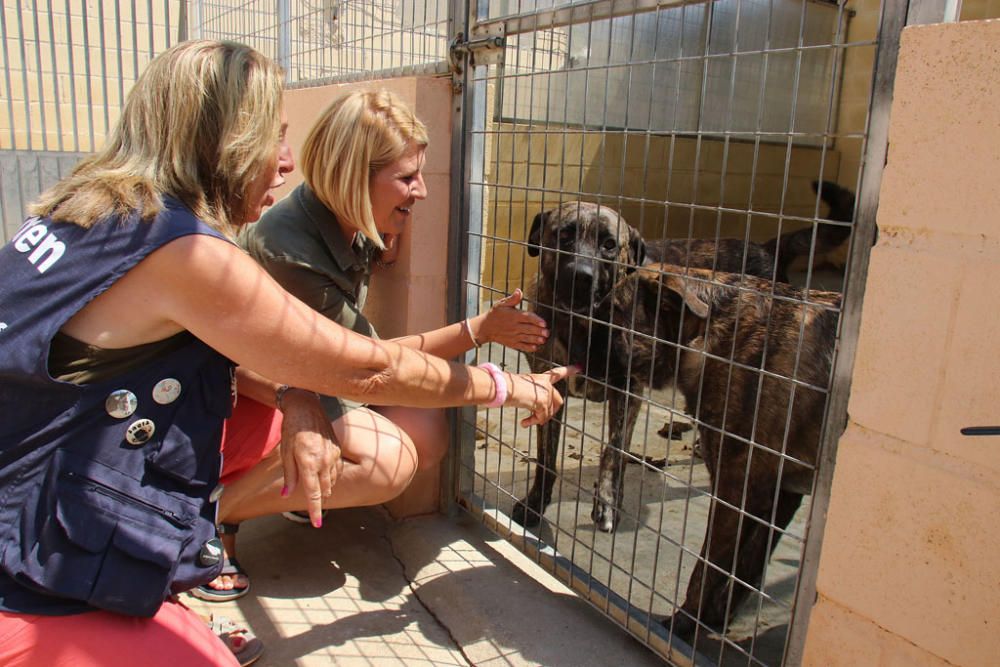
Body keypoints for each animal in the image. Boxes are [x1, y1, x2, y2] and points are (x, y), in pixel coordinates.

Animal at [512, 201, 776, 536]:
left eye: (609, 244)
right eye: (565, 235)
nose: (582, 276)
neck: (583, 325)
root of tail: (762, 249)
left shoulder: (628, 391)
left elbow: (614, 451)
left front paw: (607, 502)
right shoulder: (548, 388)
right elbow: (546, 455)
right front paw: (536, 502)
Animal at [592, 264, 844, 636]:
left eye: (613, 312)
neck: (705, 335)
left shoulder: (736, 487)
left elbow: (710, 566)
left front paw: (683, 623)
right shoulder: (779, 494)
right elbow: (747, 566)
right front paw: (713, 618)